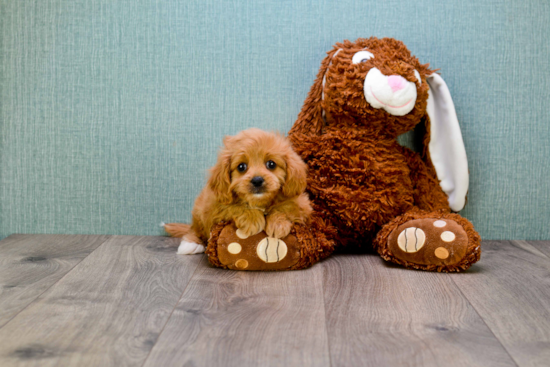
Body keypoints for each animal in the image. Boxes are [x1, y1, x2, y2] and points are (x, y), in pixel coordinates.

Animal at [164, 129, 312, 256]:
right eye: (241, 167)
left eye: (271, 164)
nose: (257, 180)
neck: (259, 202)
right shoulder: (215, 207)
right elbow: (233, 207)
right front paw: (253, 219)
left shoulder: (302, 204)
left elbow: (286, 206)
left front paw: (278, 224)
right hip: (199, 211)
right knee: (194, 230)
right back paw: (190, 244)